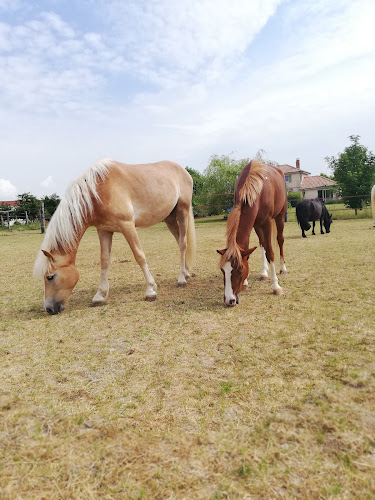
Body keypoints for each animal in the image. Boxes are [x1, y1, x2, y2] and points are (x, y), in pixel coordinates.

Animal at [33, 160, 197, 314]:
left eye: (50, 277)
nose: (49, 309)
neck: (97, 192)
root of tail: (183, 170)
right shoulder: (104, 230)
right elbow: (105, 261)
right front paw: (99, 296)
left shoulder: (127, 225)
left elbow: (139, 256)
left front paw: (150, 290)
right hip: (169, 218)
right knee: (180, 242)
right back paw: (186, 273)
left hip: (182, 210)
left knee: (183, 243)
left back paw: (181, 279)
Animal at [217, 160, 288, 306]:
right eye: (222, 270)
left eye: (239, 269)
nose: (229, 300)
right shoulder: (255, 224)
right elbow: (250, 252)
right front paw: (245, 283)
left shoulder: (267, 222)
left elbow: (270, 253)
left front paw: (276, 287)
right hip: (258, 226)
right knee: (262, 244)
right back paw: (264, 273)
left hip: (280, 215)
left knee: (280, 240)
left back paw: (283, 268)